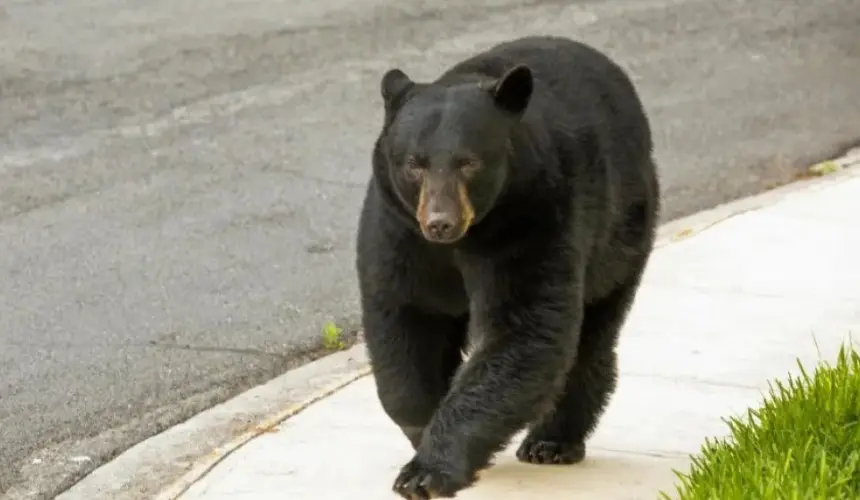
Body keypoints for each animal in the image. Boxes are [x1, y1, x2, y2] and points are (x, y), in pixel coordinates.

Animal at [354, 35, 660, 500]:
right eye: (414, 163)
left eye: (468, 161)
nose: (440, 222)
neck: (466, 239)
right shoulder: (398, 231)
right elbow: (407, 320)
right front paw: (422, 429)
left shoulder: (532, 218)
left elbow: (524, 331)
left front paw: (427, 471)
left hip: (623, 232)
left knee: (591, 333)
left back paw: (553, 440)